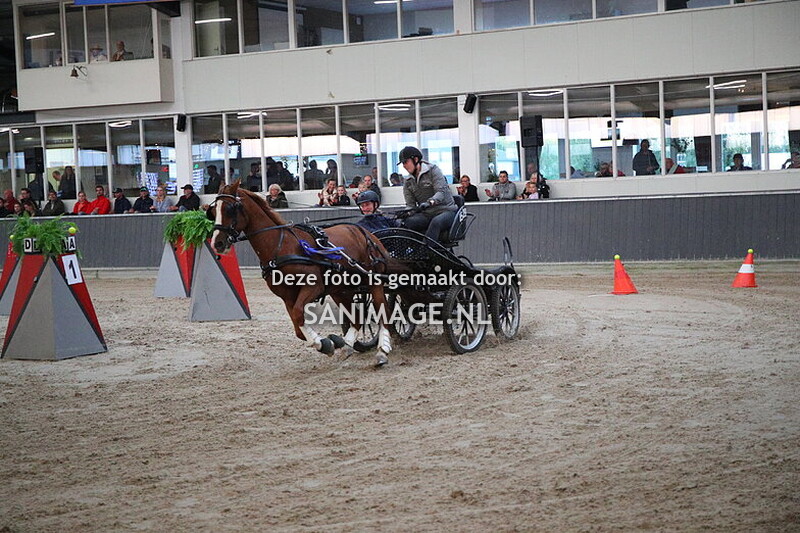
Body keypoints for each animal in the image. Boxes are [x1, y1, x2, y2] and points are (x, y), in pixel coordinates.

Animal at [209, 180, 395, 367]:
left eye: (230, 208)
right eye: (213, 211)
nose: (217, 243)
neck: (280, 246)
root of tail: (366, 233)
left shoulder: (314, 287)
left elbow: (299, 314)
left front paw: (325, 343)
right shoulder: (287, 296)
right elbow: (298, 327)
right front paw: (326, 343)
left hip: (373, 280)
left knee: (383, 312)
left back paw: (382, 350)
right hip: (342, 289)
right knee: (357, 316)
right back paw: (346, 345)